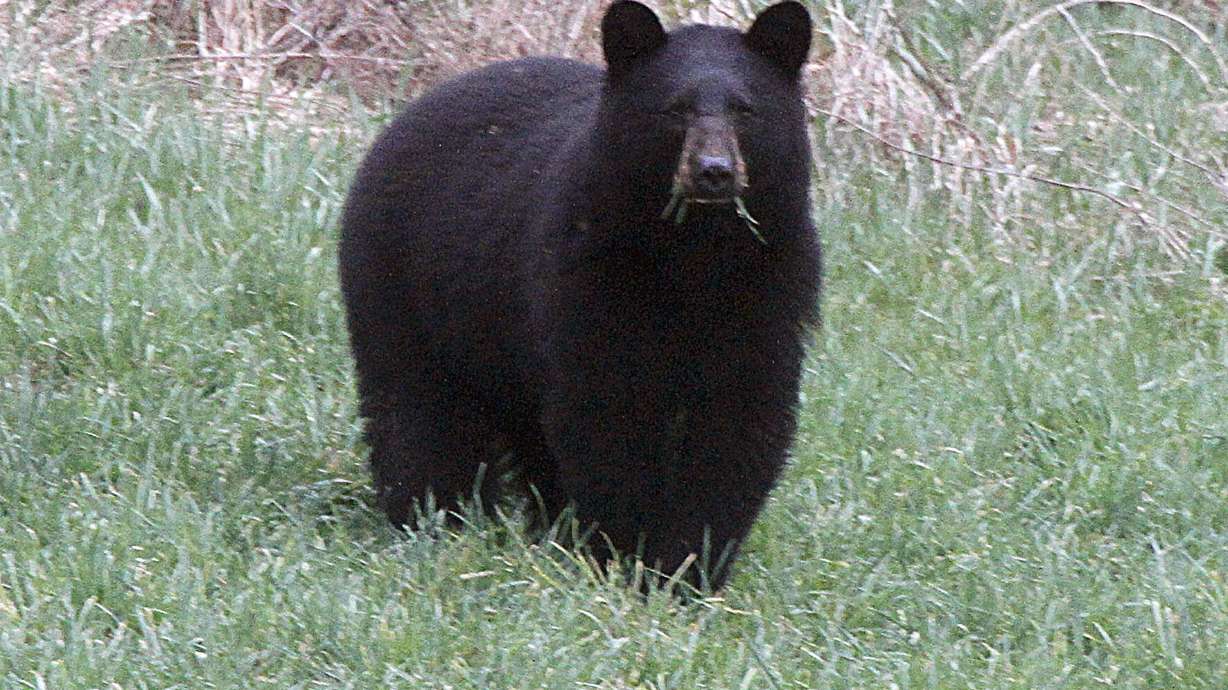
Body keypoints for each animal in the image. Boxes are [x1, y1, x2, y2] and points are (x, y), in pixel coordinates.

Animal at [338, 0, 820, 591]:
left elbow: (738, 426)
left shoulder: (769, 290)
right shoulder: (588, 278)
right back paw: (433, 516)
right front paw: (622, 555)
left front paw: (689, 569)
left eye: (746, 110)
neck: (694, 256)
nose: (714, 172)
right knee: (416, 408)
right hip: (405, 284)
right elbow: (604, 417)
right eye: (675, 110)